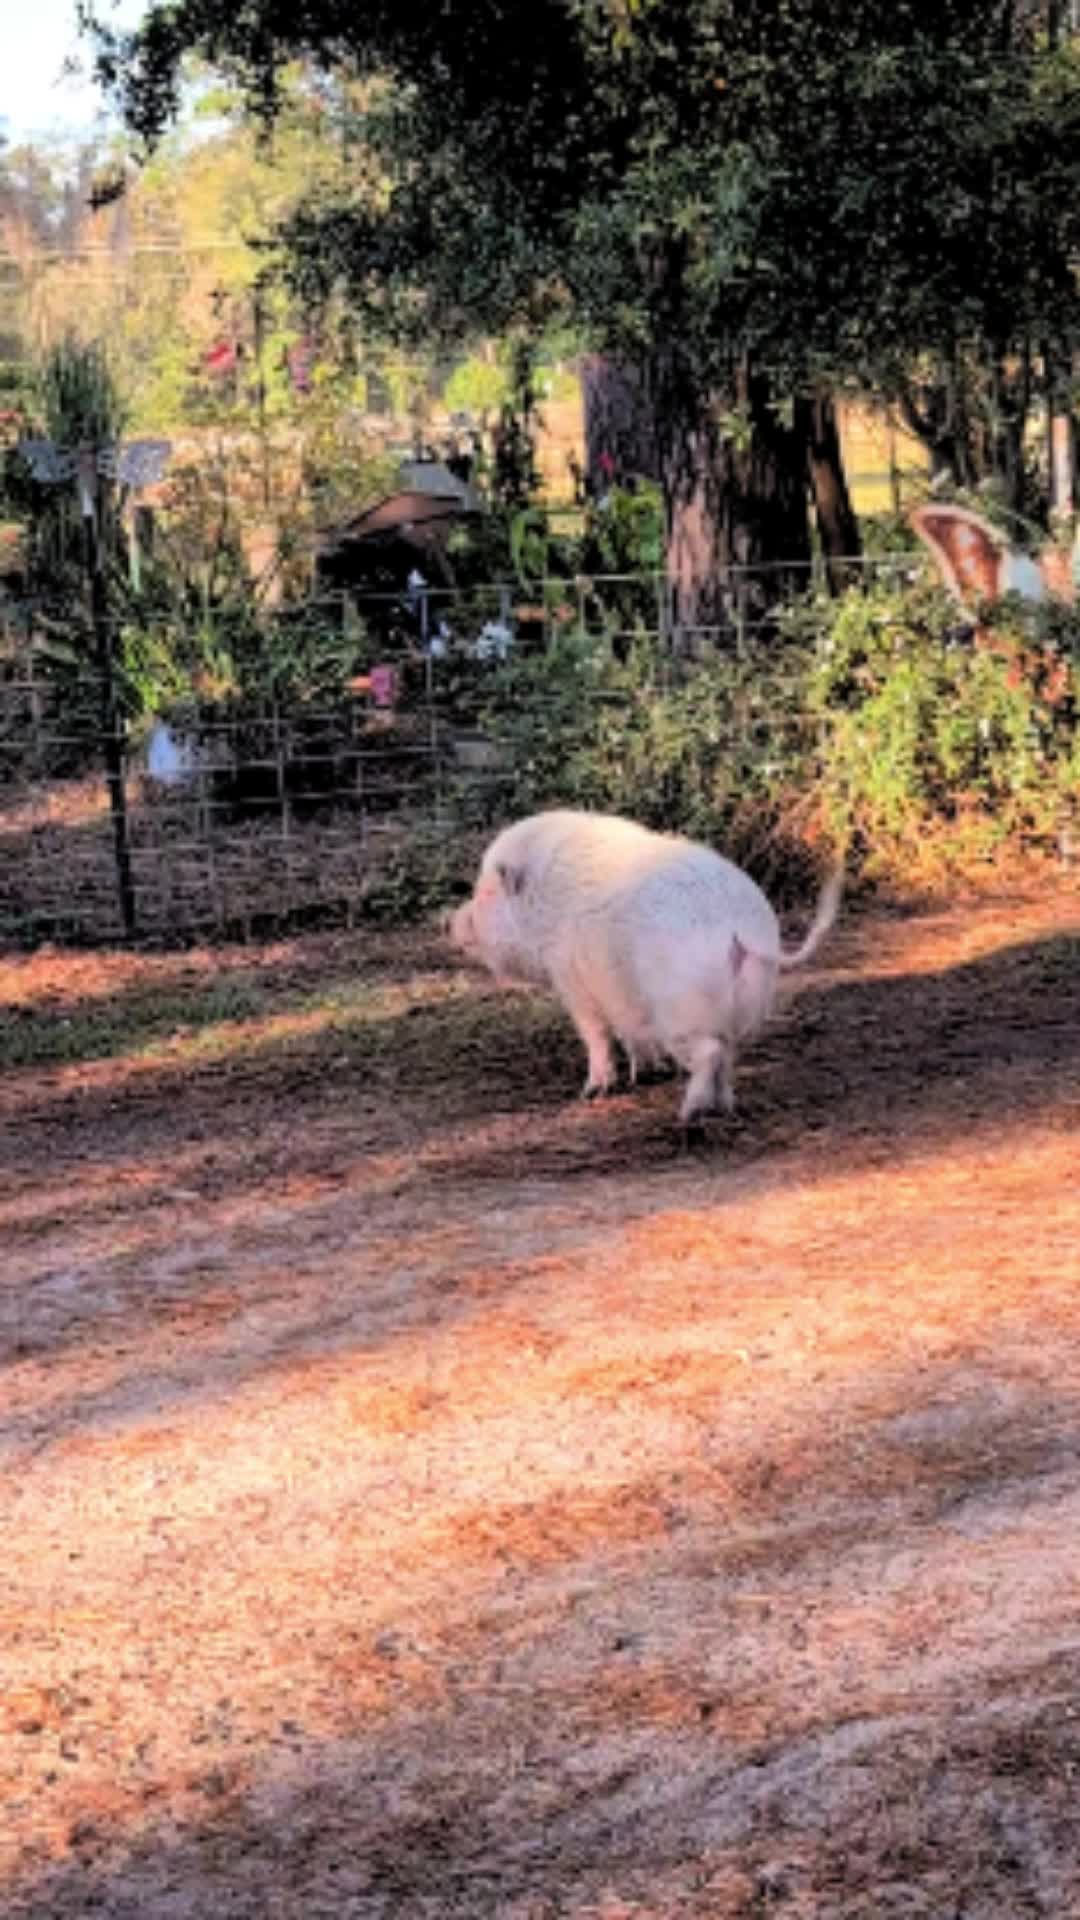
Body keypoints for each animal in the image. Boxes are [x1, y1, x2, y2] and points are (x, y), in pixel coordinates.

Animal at [447, 809, 842, 1127]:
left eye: (486, 893)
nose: (449, 923)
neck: (542, 908)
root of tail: (740, 928)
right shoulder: (620, 998)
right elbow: (632, 1036)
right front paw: (645, 1075)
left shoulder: (573, 982)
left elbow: (595, 1034)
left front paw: (591, 1091)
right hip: (743, 1003)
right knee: (728, 1056)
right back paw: (723, 1108)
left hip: (681, 1011)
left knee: (709, 1054)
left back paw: (689, 1114)